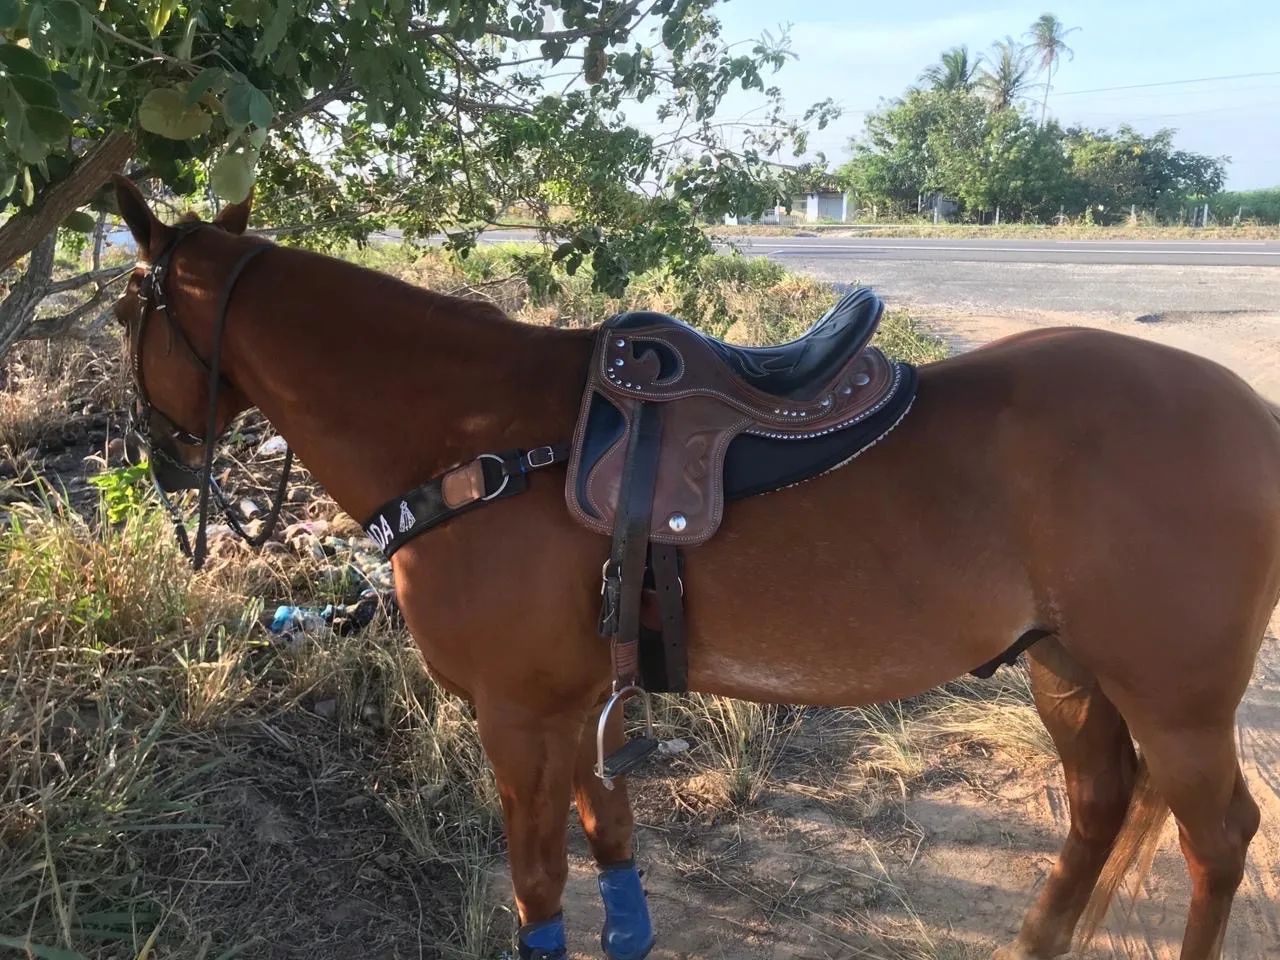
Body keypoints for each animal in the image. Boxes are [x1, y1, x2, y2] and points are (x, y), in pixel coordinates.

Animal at [109, 175, 1277, 960]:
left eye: (124, 308)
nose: (159, 459)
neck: (485, 440)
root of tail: (1252, 415)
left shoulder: (517, 716)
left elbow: (539, 883)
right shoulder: (580, 703)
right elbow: (610, 837)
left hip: (1173, 701)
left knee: (1217, 839)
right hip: (1066, 670)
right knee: (1098, 806)